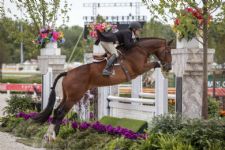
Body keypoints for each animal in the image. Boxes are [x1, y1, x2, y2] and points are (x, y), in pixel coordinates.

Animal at [33, 37, 173, 141]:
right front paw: (163, 71)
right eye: (168, 52)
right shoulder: (139, 69)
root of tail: (68, 73)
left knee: (57, 111)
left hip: (67, 96)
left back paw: (50, 135)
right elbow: (155, 64)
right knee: (61, 112)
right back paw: (52, 136)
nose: (170, 67)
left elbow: (154, 65)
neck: (140, 50)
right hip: (74, 97)